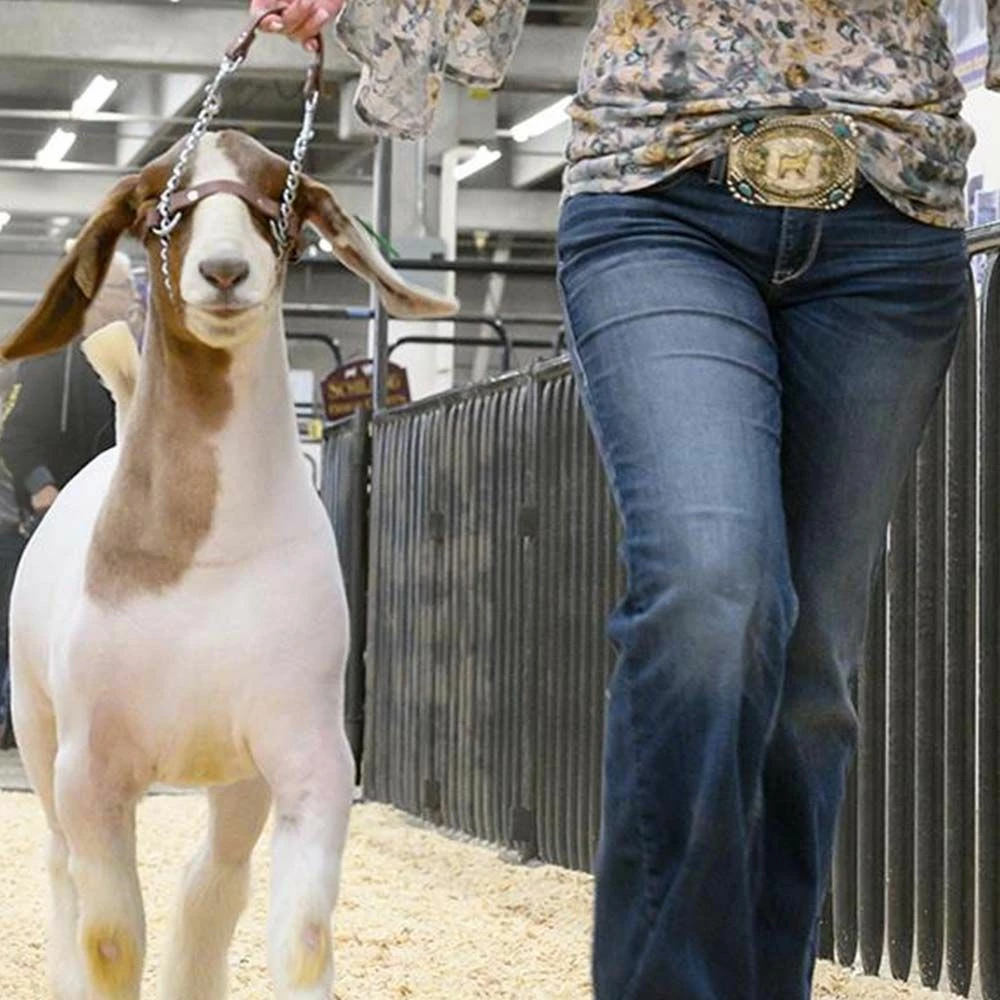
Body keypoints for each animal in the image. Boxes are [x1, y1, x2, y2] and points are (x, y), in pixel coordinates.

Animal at [3, 129, 456, 1000]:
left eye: (282, 193)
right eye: (157, 201)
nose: (222, 271)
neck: (206, 556)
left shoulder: (309, 750)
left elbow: (302, 935)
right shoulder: (91, 768)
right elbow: (110, 939)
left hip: (236, 770)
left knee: (212, 878)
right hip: (37, 726)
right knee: (59, 865)